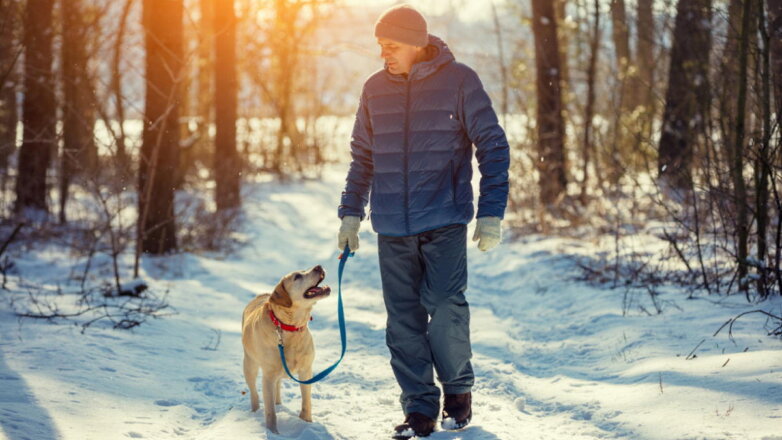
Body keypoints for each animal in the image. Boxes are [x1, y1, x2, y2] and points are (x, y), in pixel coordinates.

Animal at [243, 264, 332, 434]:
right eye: (297, 277)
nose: (318, 266)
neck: (289, 327)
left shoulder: (306, 370)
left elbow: (306, 402)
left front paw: (307, 423)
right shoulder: (268, 376)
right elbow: (270, 412)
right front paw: (273, 433)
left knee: (277, 389)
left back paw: (279, 405)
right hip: (250, 365)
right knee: (254, 393)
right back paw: (255, 411)